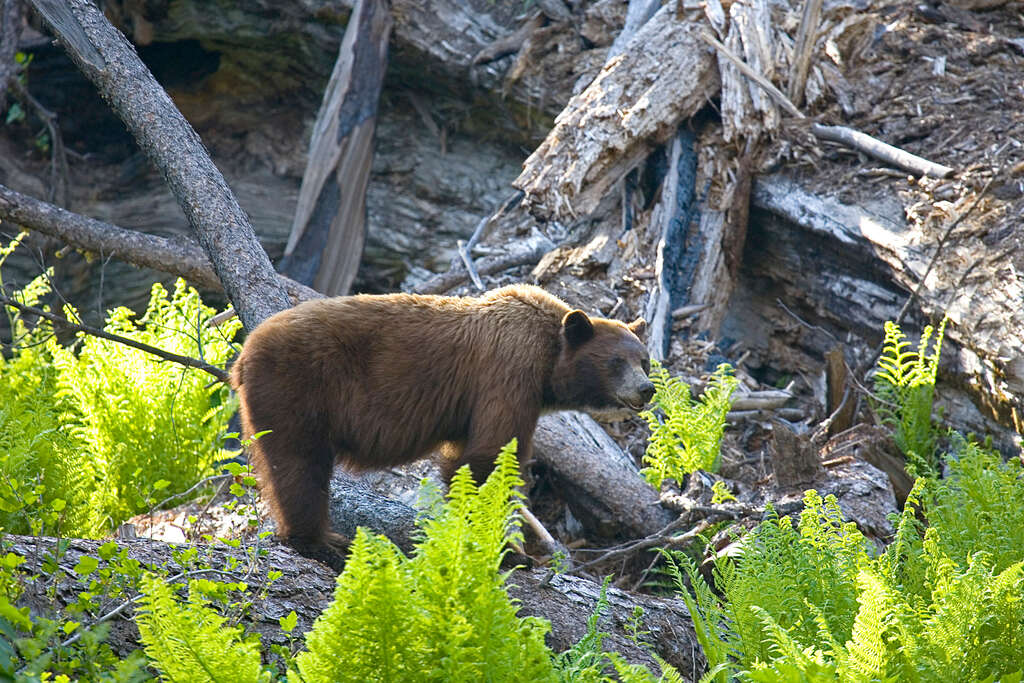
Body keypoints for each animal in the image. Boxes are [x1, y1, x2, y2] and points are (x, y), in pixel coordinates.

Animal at [229, 286, 651, 565]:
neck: (548, 357)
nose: (646, 389)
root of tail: (244, 353)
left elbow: (465, 459)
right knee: (299, 465)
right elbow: (490, 457)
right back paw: (321, 541)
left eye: (644, 360)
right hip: (296, 387)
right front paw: (508, 552)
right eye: (616, 362)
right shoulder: (509, 372)